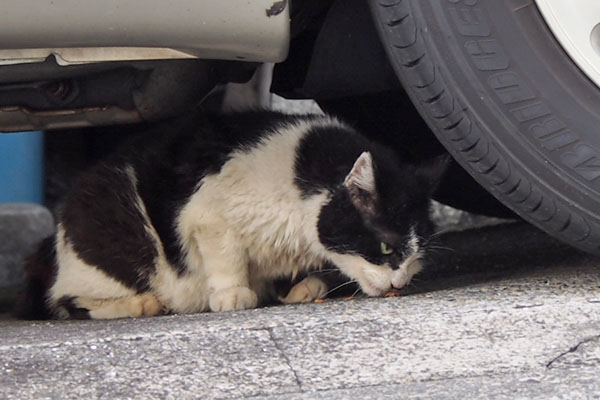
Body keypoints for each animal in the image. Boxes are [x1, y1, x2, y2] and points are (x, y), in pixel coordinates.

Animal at [16, 111, 448, 320]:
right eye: (386, 248)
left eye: (416, 257)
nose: (400, 282)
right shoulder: (206, 212)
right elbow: (225, 253)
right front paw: (233, 293)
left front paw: (298, 287)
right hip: (116, 236)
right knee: (67, 301)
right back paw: (141, 305)